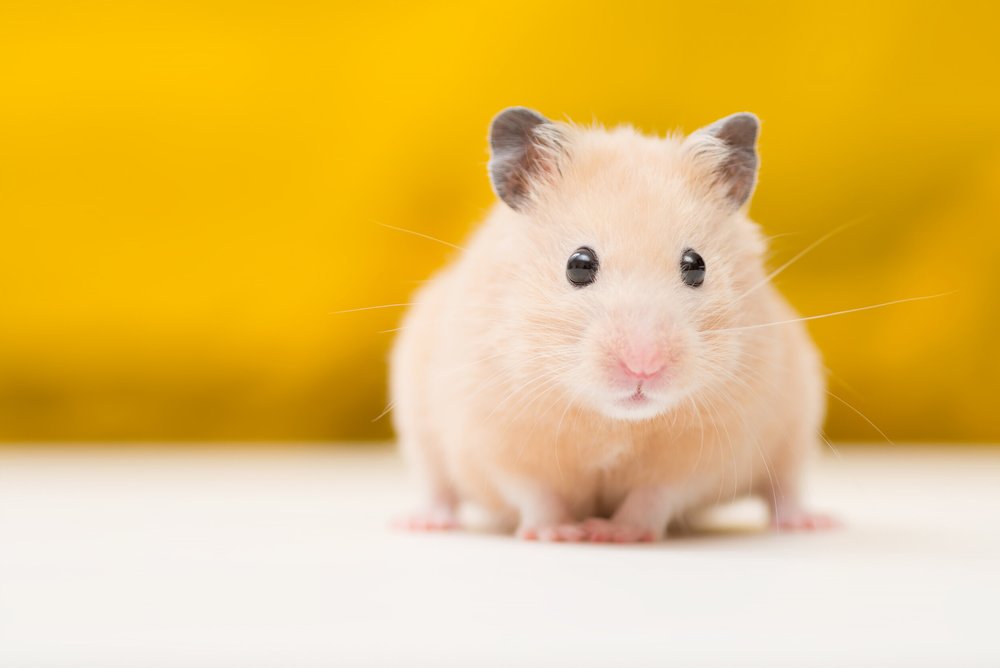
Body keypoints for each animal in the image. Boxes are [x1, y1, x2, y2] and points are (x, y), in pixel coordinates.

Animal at [390, 107, 833, 542]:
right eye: (579, 264)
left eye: (696, 265)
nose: (643, 367)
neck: (614, 421)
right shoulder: (493, 437)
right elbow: (536, 492)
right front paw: (559, 533)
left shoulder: (709, 451)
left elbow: (654, 495)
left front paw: (612, 533)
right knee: (438, 487)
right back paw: (424, 522)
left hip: (796, 424)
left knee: (784, 486)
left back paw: (811, 522)